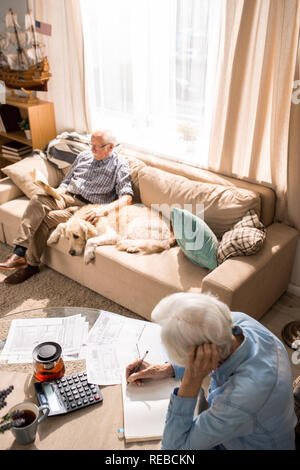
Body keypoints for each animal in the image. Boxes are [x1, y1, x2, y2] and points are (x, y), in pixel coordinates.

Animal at [47, 204, 176, 264]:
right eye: (67, 238)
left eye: (76, 236)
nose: (70, 253)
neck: (93, 221)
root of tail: (170, 232)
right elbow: (60, 224)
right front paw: (51, 237)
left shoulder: (113, 235)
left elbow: (90, 240)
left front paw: (88, 255)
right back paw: (131, 248)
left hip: (133, 226)